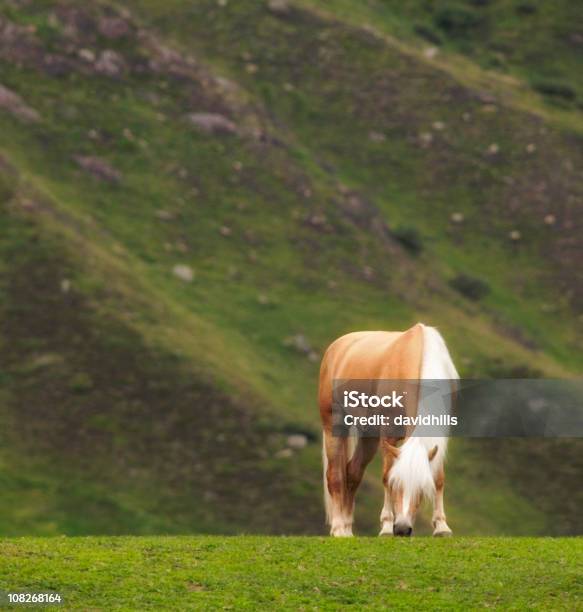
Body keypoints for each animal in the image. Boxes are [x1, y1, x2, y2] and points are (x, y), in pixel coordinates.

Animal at [322, 322, 458, 536]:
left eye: (422, 488)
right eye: (396, 484)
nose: (401, 529)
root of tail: (336, 346)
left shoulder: (440, 436)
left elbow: (438, 477)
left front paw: (442, 527)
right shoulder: (389, 434)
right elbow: (386, 474)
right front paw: (386, 526)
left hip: (369, 435)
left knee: (352, 473)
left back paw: (348, 529)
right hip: (333, 425)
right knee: (335, 476)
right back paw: (338, 529)